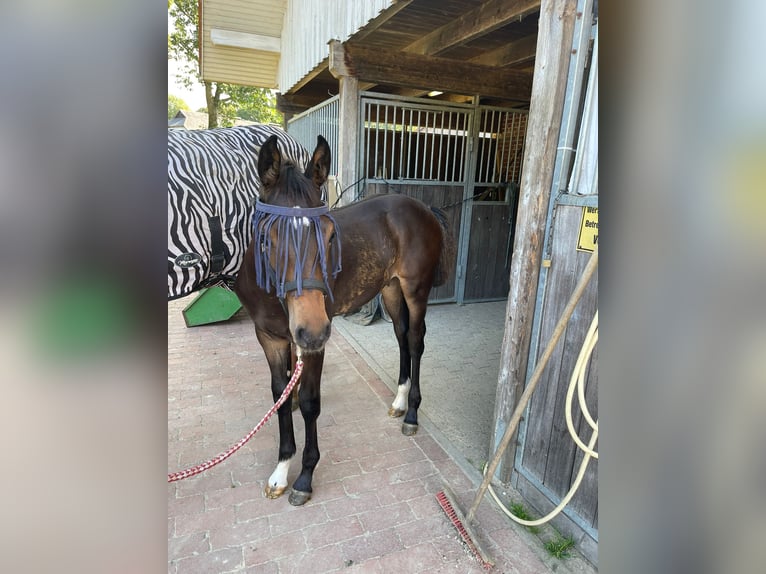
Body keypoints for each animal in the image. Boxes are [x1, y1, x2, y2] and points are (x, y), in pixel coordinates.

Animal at [231, 134, 452, 504]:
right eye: (268, 238)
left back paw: (411, 413)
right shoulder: (271, 338)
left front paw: (304, 477)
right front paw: (280, 473)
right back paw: (398, 400)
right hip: (390, 290)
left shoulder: (314, 345)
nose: (312, 330)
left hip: (415, 290)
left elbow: (309, 403)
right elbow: (280, 396)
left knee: (416, 340)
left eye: (330, 235)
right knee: (401, 334)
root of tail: (422, 208)